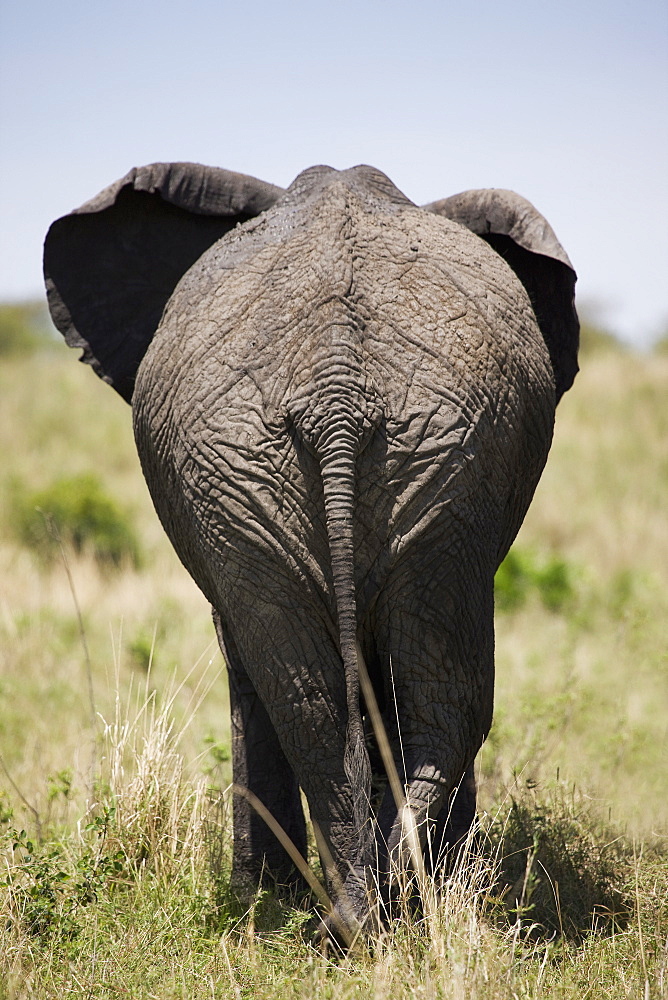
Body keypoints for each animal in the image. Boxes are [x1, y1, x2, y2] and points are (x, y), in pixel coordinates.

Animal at [43, 160, 580, 940]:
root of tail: (338, 389)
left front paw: (267, 896)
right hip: (368, 467)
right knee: (409, 692)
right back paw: (385, 908)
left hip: (414, 460)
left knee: (336, 693)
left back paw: (368, 912)